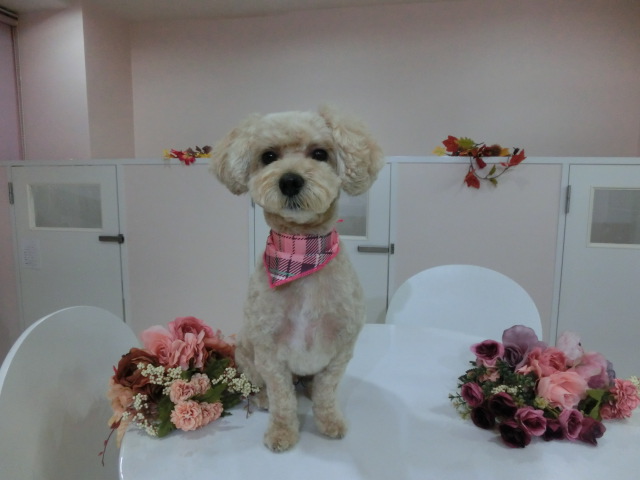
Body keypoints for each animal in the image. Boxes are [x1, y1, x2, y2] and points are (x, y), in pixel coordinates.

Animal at [210, 106, 384, 451]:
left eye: (319, 153)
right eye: (268, 156)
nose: (290, 181)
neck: (301, 252)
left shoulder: (340, 350)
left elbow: (327, 392)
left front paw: (329, 422)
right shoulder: (270, 353)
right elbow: (282, 398)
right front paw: (281, 432)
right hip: (246, 351)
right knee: (262, 385)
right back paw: (262, 398)